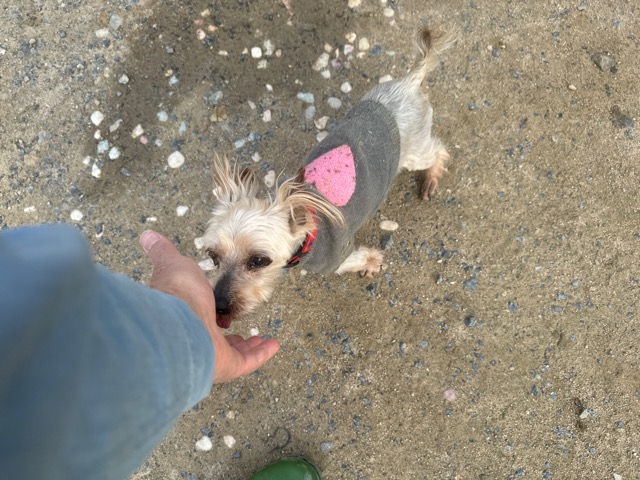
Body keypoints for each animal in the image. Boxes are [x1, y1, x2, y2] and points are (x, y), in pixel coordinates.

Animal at [200, 26, 455, 328]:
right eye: (212, 257)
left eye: (259, 261)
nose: (218, 306)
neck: (308, 231)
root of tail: (408, 82)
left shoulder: (340, 258)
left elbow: (363, 258)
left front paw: (372, 263)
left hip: (415, 151)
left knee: (438, 151)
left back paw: (431, 177)